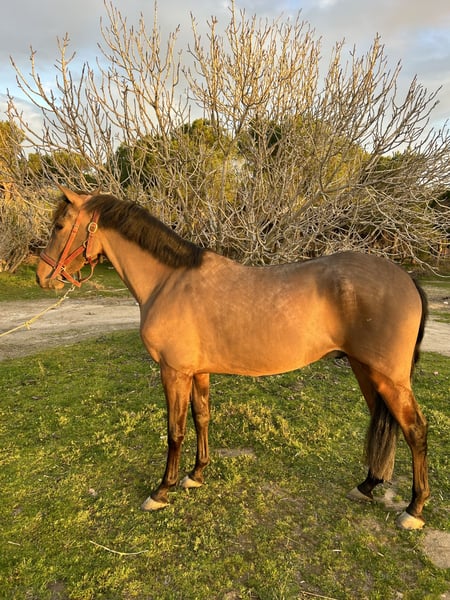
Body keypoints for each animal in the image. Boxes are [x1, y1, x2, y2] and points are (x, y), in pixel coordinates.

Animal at [36, 186, 430, 530]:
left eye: (59, 226)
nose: (42, 276)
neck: (168, 281)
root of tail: (407, 279)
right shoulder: (198, 372)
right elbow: (202, 418)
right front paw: (196, 475)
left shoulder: (173, 372)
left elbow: (175, 431)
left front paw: (162, 490)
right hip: (367, 371)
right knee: (387, 424)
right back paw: (368, 485)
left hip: (389, 378)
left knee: (415, 430)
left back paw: (413, 509)